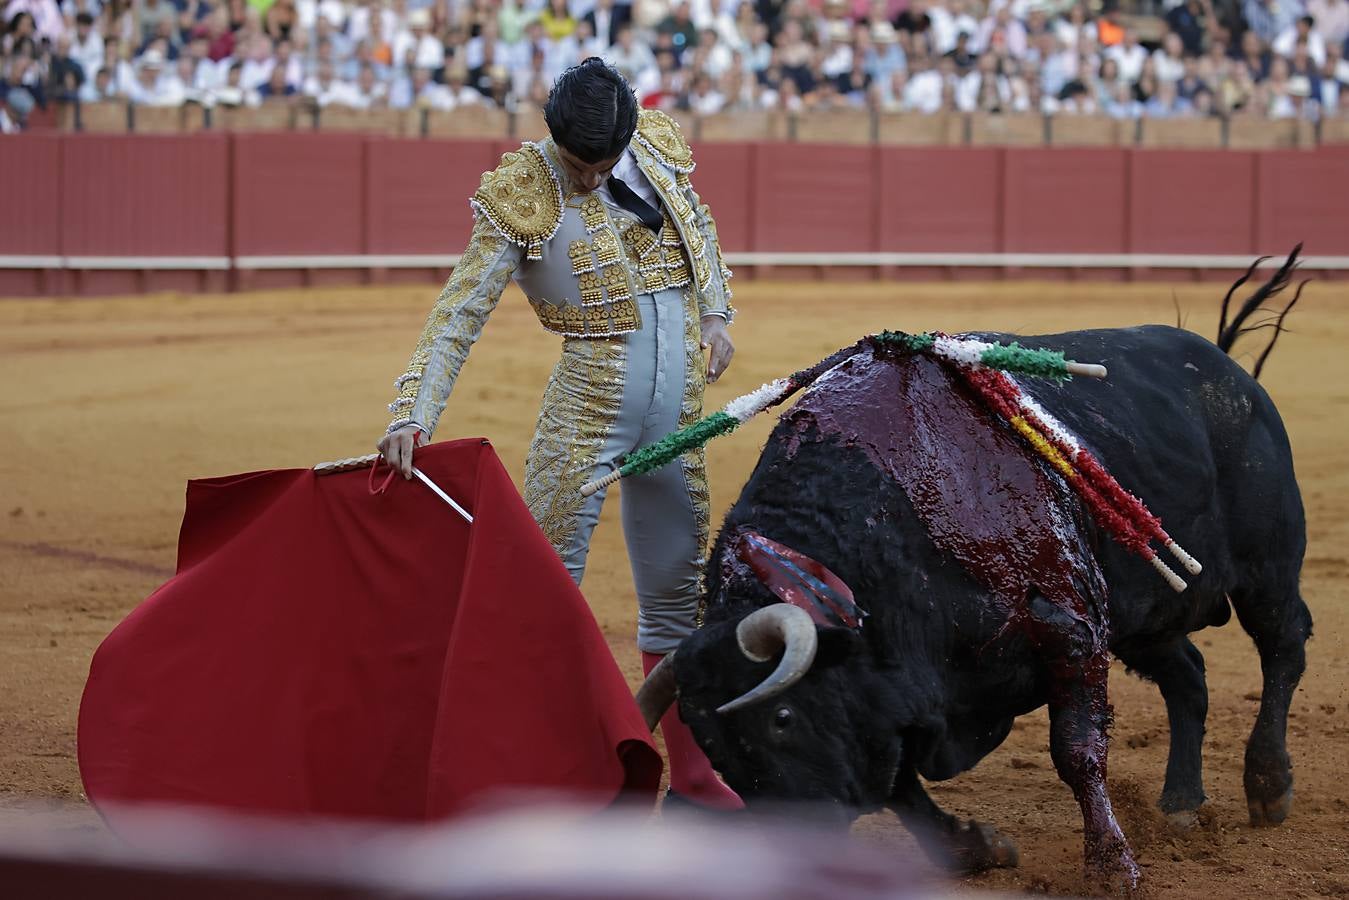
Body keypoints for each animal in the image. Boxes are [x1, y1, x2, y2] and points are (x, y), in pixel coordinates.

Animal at [636, 249, 1311, 890]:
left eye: (781, 717)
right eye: (713, 749)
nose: (795, 854)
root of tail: (1229, 371)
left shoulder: (1070, 628)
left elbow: (1076, 750)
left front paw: (1113, 867)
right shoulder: (892, 694)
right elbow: (899, 785)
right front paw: (976, 849)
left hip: (1266, 568)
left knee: (1284, 645)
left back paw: (1267, 785)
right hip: (1141, 620)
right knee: (1188, 676)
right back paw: (1180, 804)